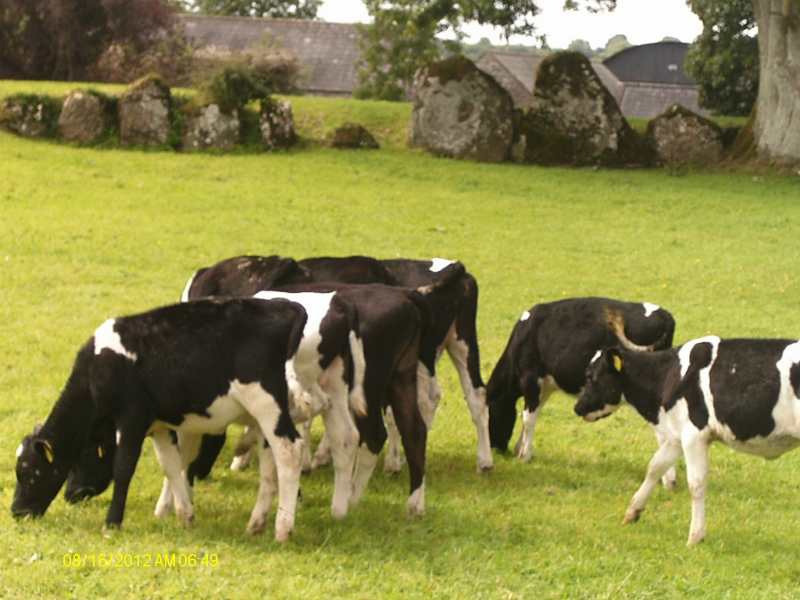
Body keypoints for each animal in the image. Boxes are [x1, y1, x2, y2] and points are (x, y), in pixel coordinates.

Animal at [13, 297, 308, 542]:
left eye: (27, 471)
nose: (16, 511)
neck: (97, 370)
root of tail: (285, 306)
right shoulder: (159, 425)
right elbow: (171, 465)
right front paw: (185, 516)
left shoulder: (132, 417)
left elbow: (123, 467)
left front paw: (112, 523)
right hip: (262, 418)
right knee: (270, 465)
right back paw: (256, 524)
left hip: (266, 403)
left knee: (290, 453)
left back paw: (283, 529)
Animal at [486, 297, 675, 475]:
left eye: (488, 416)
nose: (496, 449)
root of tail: (664, 314)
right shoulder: (545, 386)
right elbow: (533, 414)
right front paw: (521, 448)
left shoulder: (530, 379)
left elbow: (528, 418)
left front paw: (524, 456)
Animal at [574, 336, 800, 546]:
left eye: (591, 377)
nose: (578, 408)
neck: (671, 375)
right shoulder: (677, 435)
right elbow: (656, 466)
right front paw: (633, 511)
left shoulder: (694, 434)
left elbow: (696, 484)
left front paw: (695, 536)